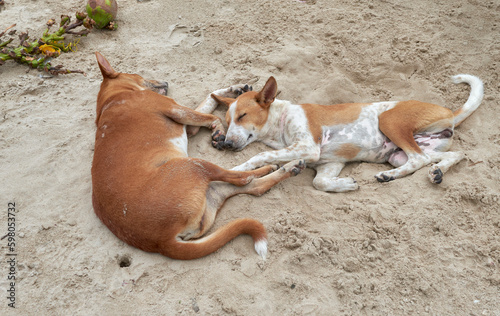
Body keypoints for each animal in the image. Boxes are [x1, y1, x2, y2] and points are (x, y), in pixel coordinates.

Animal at [91, 51, 304, 260]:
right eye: (139, 74)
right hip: (194, 165)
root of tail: (161, 243)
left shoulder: (189, 126)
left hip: (212, 192)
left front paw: (233, 89)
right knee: (240, 177)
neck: (112, 97)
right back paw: (269, 167)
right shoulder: (178, 110)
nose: (166, 82)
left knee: (255, 187)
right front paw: (219, 129)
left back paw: (289, 168)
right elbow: (212, 115)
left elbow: (210, 97)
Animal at [212, 74, 484, 193]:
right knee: (450, 155)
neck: (281, 119)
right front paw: (345, 184)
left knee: (418, 159)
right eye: (227, 121)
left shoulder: (308, 147)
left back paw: (389, 175)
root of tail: (449, 112)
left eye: (242, 116)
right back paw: (436, 172)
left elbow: (259, 157)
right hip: (402, 153)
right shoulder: (328, 163)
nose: (225, 144)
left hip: (390, 122)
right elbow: (319, 182)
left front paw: (236, 169)